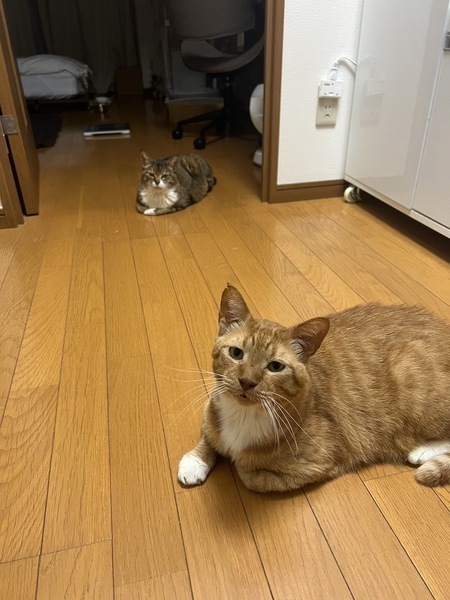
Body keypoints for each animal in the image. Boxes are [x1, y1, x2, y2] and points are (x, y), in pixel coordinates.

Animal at [178, 284, 450, 493]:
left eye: (275, 366)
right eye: (236, 353)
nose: (246, 381)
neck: (243, 414)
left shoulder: (319, 463)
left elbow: (250, 475)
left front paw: (240, 461)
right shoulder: (212, 407)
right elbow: (209, 434)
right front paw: (194, 462)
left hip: (409, 373)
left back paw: (422, 452)